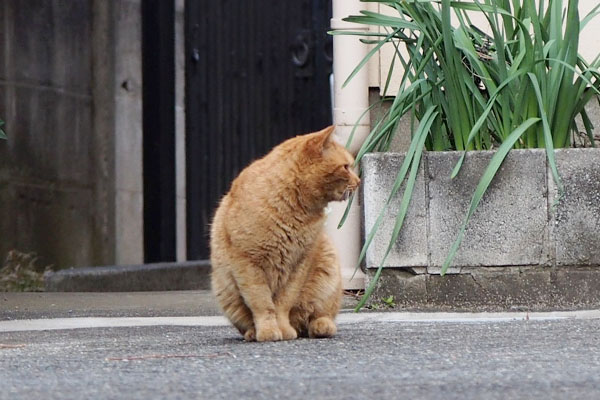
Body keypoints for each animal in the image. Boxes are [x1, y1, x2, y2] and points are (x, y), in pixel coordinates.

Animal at [211, 125, 360, 340]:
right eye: (346, 167)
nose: (359, 181)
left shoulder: (300, 263)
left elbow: (284, 302)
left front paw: (283, 328)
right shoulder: (247, 263)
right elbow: (262, 303)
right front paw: (268, 331)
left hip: (328, 266)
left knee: (316, 316)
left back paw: (321, 327)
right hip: (225, 289)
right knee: (247, 322)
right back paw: (252, 333)